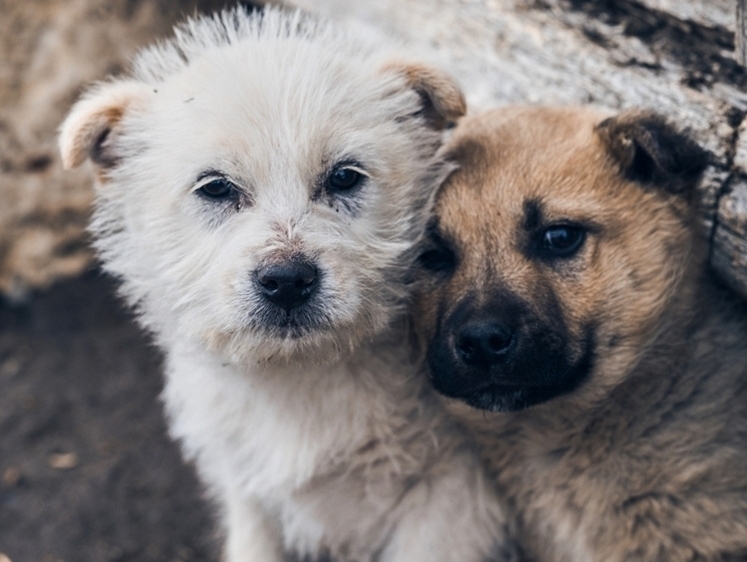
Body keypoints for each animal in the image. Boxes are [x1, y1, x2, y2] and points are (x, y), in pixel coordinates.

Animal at [60, 7, 516, 560]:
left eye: (344, 177)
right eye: (215, 187)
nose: (287, 281)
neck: (296, 379)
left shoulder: (452, 501)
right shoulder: (249, 496)